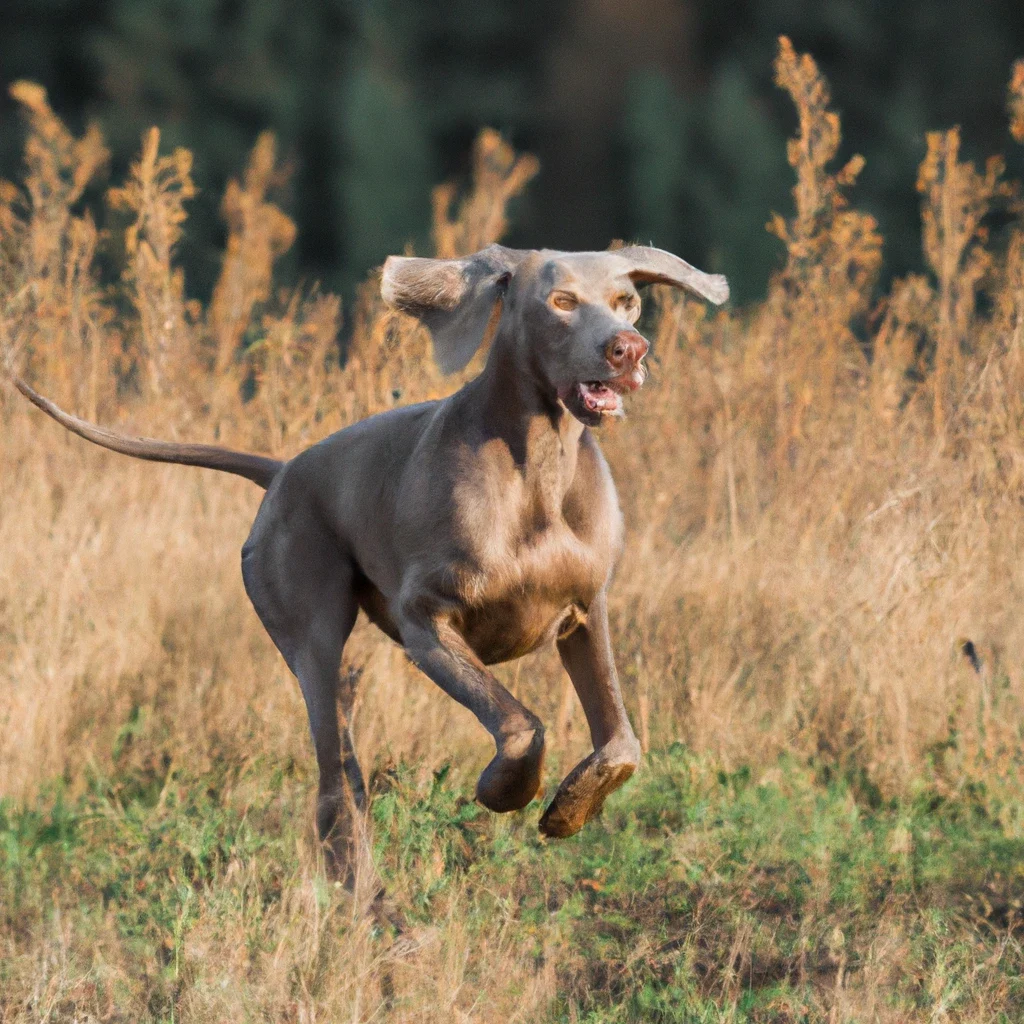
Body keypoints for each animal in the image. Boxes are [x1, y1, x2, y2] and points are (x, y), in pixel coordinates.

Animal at [19, 243, 733, 868]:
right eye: (561, 301)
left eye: (626, 302)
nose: (628, 349)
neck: (538, 467)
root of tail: (283, 472)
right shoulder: (426, 623)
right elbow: (519, 724)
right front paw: (504, 791)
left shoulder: (587, 612)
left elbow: (622, 742)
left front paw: (568, 809)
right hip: (311, 641)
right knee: (338, 783)